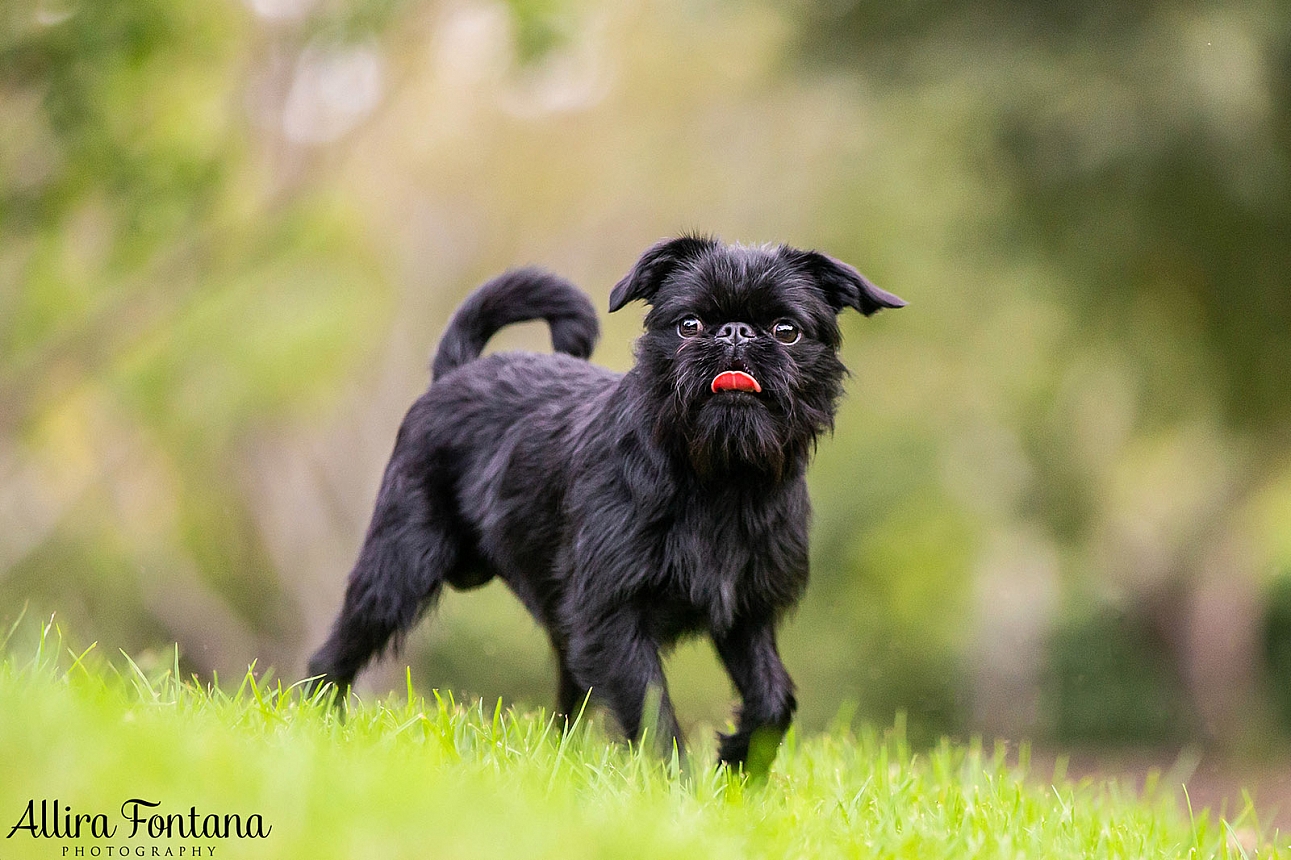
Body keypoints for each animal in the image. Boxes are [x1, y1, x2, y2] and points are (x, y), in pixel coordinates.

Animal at [307, 236, 903, 769]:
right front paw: (676, 791)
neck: (720, 478)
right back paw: (315, 722)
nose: (735, 333)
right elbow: (653, 712)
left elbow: (775, 697)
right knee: (341, 648)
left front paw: (739, 763)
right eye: (689, 325)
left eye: (786, 331)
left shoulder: (746, 616)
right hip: (398, 566)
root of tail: (456, 371)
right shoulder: (612, 620)